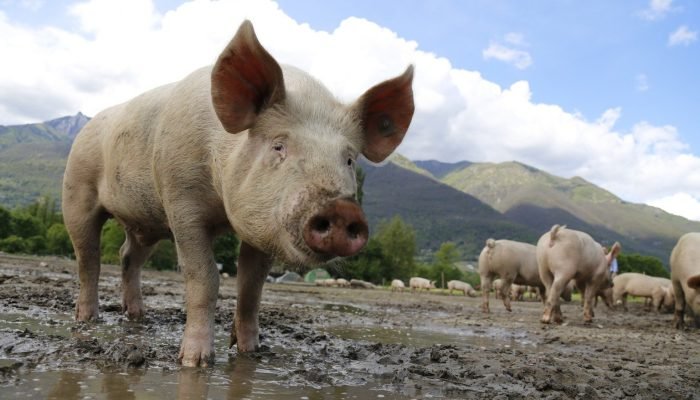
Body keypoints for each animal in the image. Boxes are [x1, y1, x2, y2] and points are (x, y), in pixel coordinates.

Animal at [61, 20, 414, 367]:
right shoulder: (181, 201)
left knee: (127, 256)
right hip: (77, 190)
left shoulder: (263, 226)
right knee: (88, 258)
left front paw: (251, 352)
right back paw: (87, 319)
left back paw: (137, 316)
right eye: (279, 146)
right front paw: (196, 361)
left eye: (349, 159)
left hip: (145, 223)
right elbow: (204, 277)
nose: (342, 210)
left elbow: (251, 286)